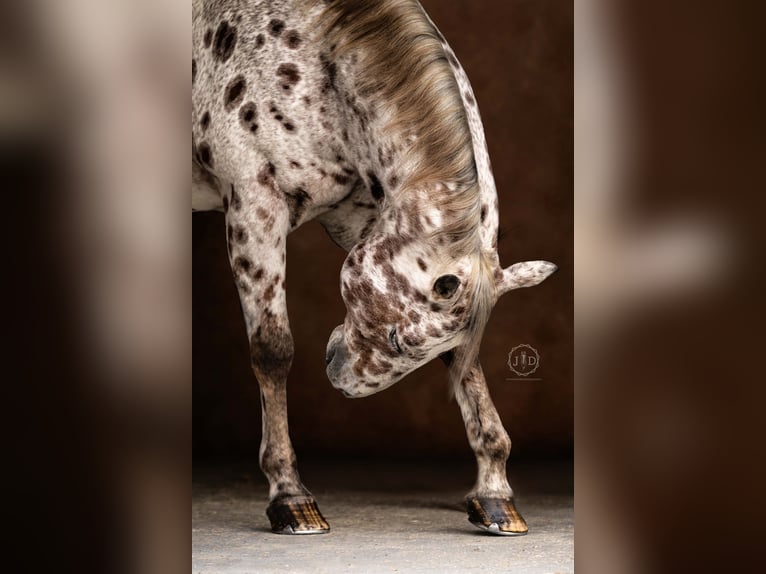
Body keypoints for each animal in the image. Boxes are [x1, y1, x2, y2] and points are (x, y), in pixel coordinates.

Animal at [193, 0, 557, 535]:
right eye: (395, 339)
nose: (338, 376)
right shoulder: (254, 209)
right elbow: (273, 350)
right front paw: (289, 495)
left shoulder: (364, 217)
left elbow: (465, 361)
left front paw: (494, 493)